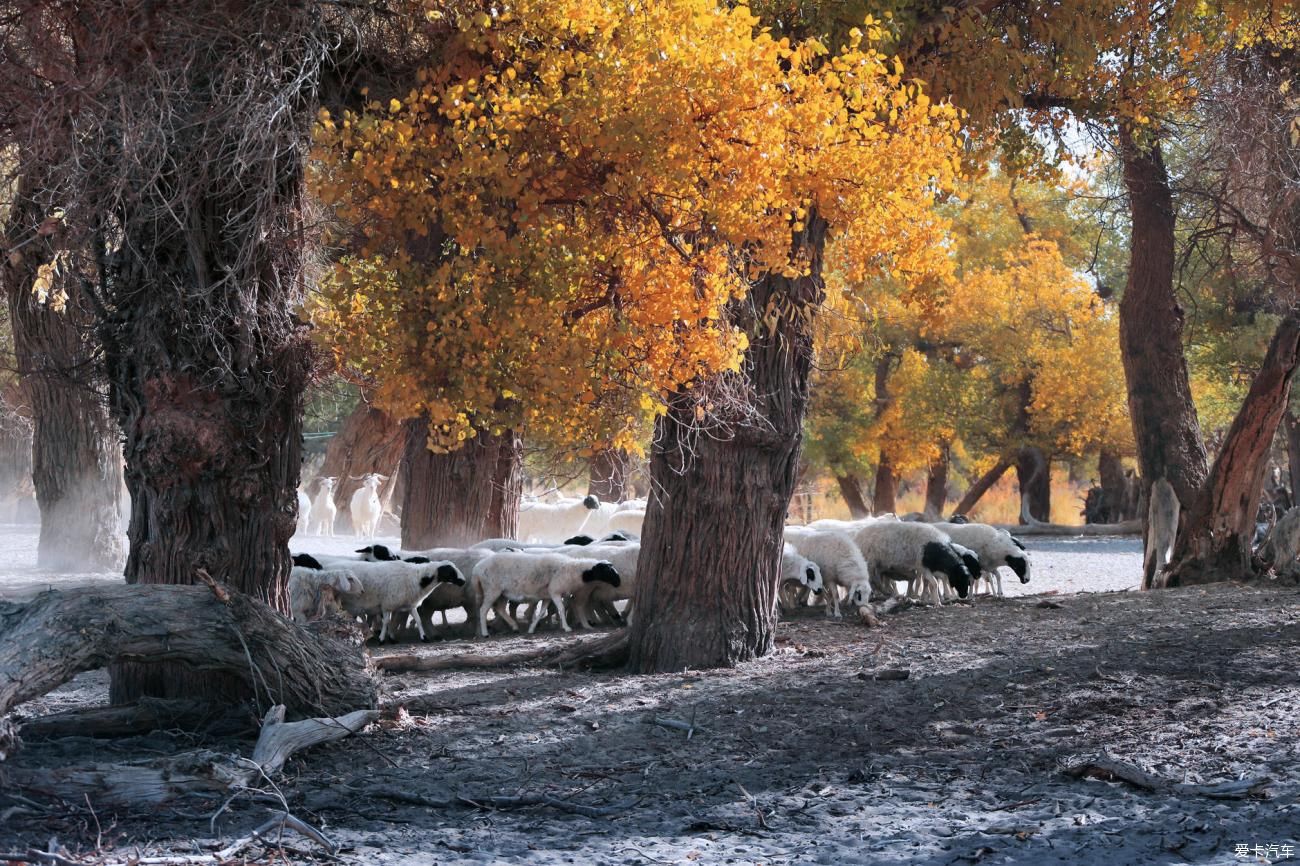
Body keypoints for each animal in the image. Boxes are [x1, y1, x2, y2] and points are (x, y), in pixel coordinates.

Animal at [475, 553, 621, 634]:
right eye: (607, 570)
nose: (619, 582)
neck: (574, 570)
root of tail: (477, 568)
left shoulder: (547, 596)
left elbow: (541, 612)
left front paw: (532, 629)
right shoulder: (555, 591)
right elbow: (560, 608)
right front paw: (566, 628)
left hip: (502, 593)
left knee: (500, 609)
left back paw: (515, 626)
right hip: (492, 590)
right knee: (483, 610)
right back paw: (485, 632)